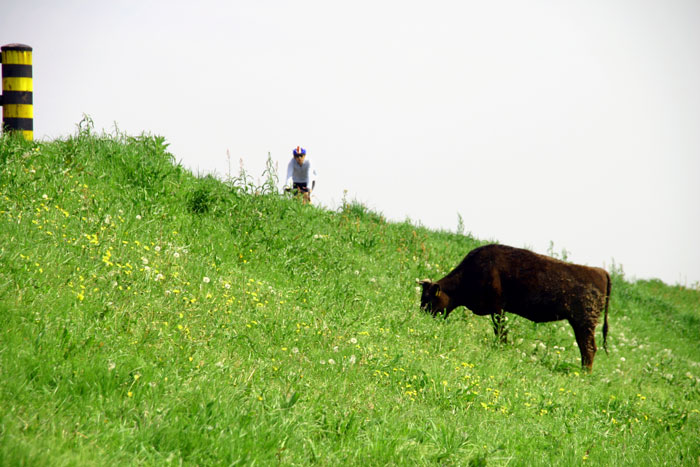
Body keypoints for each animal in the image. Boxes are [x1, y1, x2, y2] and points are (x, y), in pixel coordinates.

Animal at [418, 245, 608, 372]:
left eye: (429, 300)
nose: (421, 317)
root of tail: (601, 271)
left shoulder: (497, 308)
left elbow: (501, 331)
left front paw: (501, 347)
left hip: (583, 323)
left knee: (588, 348)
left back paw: (584, 374)